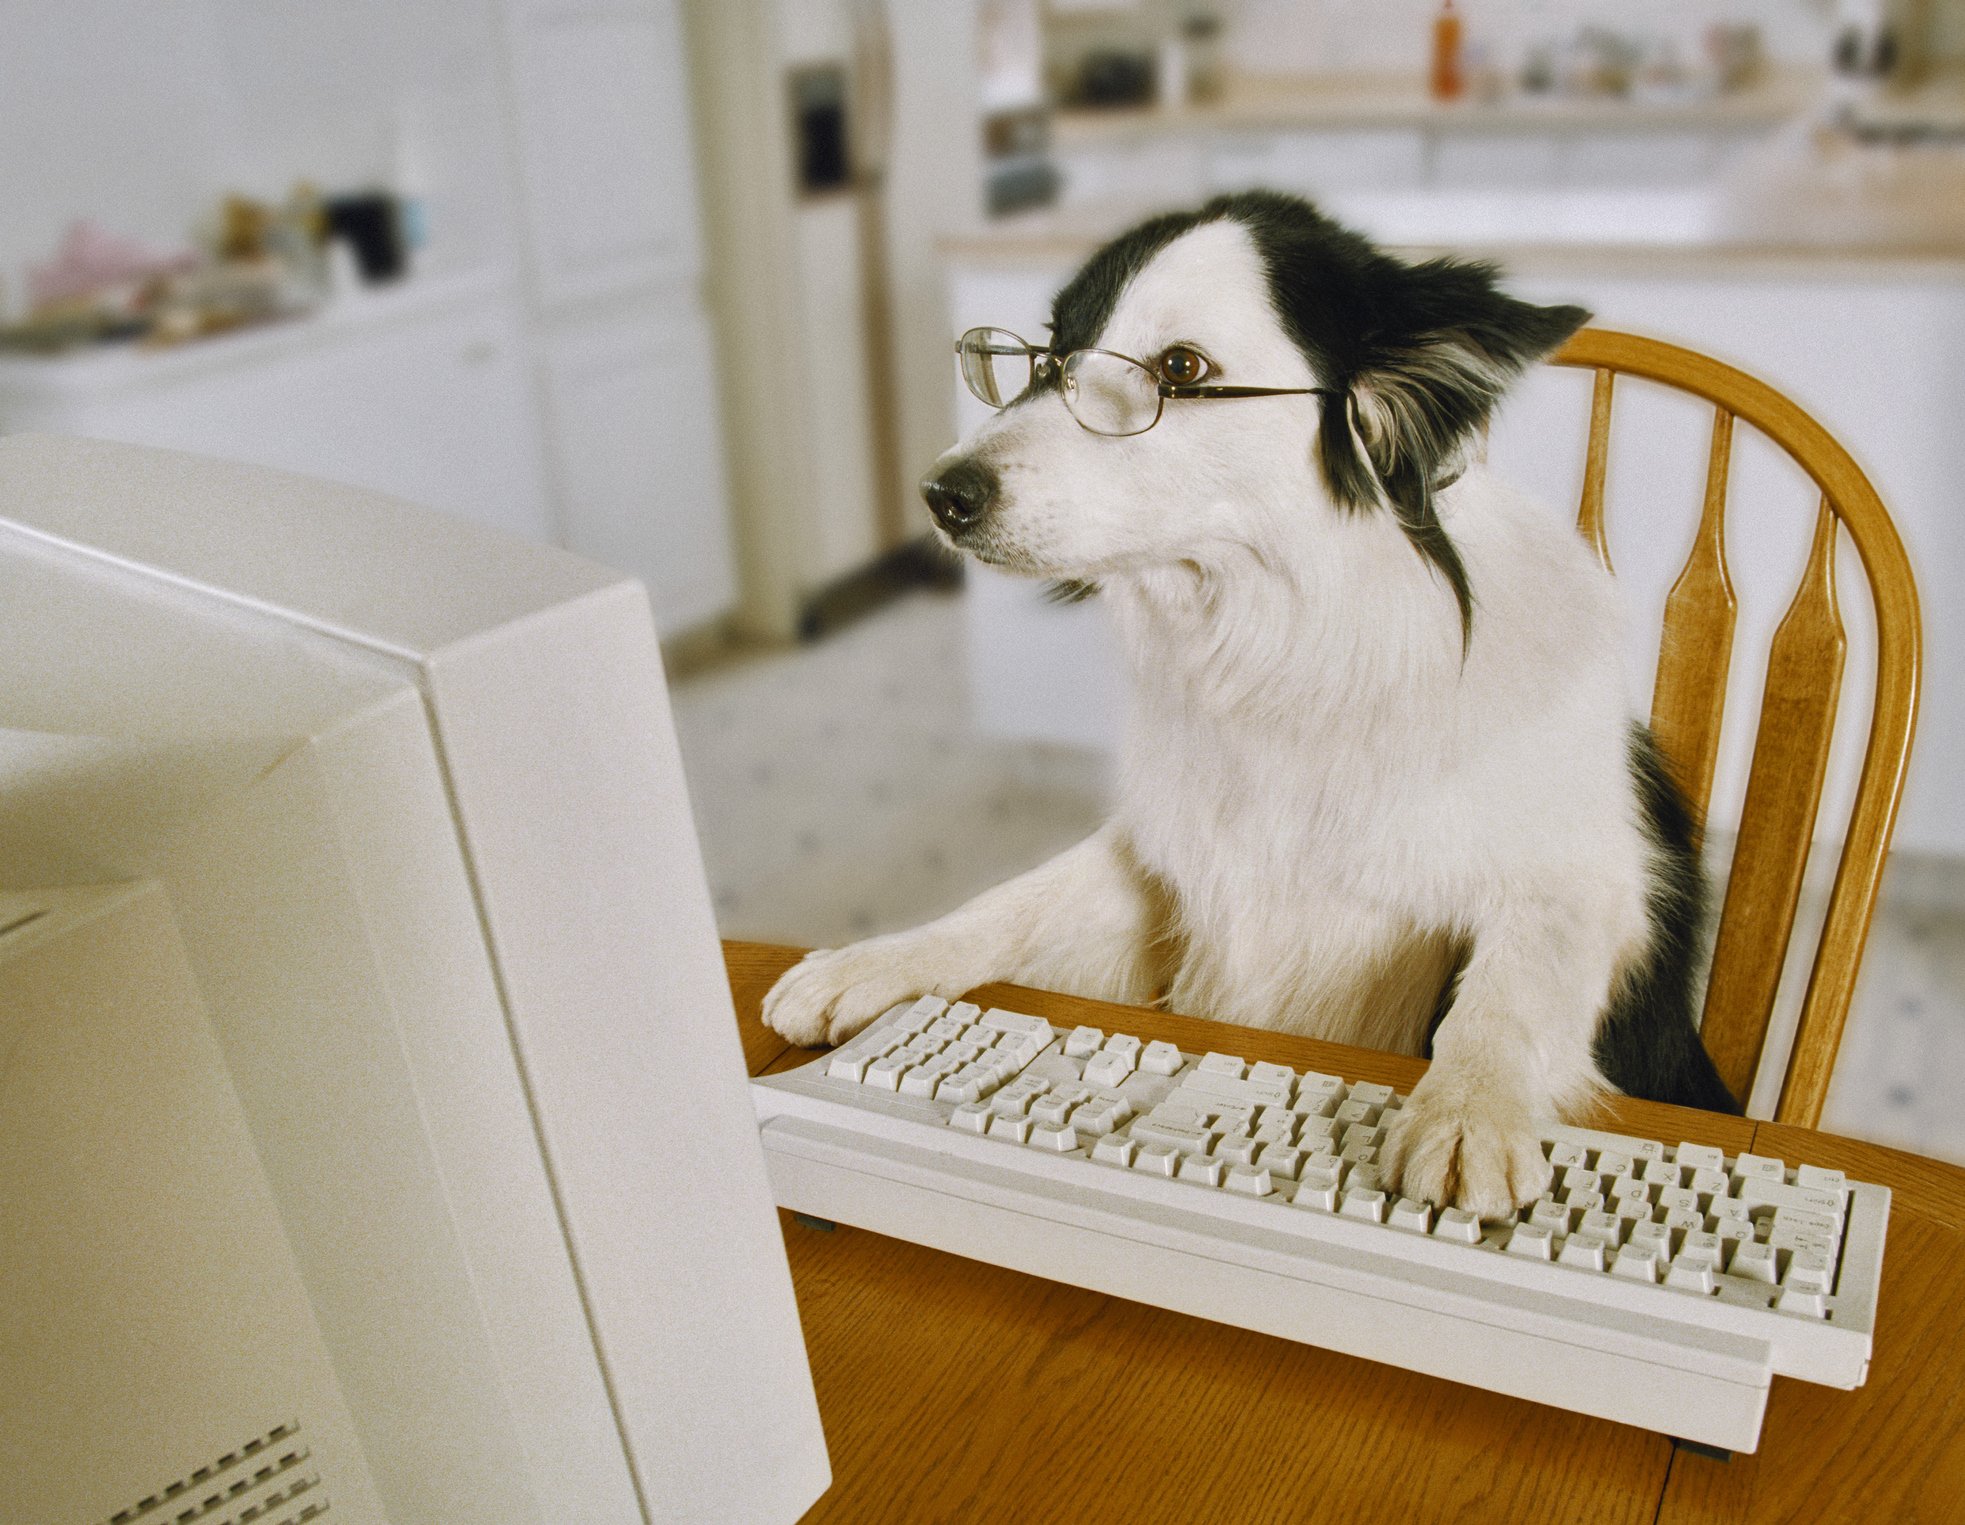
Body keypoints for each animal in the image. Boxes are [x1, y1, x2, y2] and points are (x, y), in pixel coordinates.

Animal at [762, 190, 1737, 1218]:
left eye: (1180, 369)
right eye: (1047, 353)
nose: (941, 494)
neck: (1291, 657)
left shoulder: (1596, 877)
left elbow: (1515, 979)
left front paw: (1467, 1111)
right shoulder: (1167, 859)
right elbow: (1006, 902)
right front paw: (865, 962)